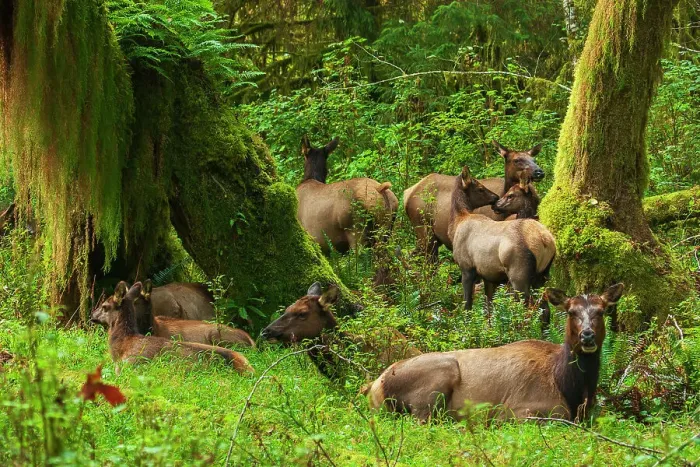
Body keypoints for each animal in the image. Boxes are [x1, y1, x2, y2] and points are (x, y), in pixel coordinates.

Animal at [364, 284, 624, 422]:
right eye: (571, 312)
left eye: (601, 311)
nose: (587, 336)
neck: (570, 387)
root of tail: (375, 386)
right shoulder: (518, 410)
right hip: (439, 378)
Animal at [449, 166, 555, 313]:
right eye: (480, 188)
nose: (495, 199)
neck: (458, 222)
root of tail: (545, 240)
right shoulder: (489, 277)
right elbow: (488, 309)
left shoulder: (467, 268)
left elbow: (467, 306)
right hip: (542, 275)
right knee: (545, 309)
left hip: (519, 274)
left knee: (527, 308)